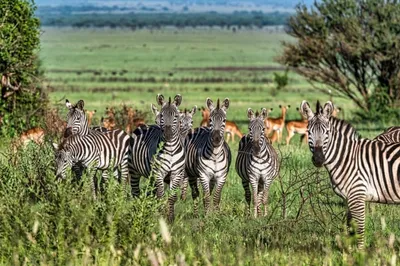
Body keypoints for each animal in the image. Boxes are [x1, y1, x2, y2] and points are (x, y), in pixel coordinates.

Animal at [128, 93, 184, 222]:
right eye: (162, 115)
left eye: (176, 116)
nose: (168, 134)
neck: (170, 150)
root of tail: (146, 125)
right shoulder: (158, 173)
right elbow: (161, 196)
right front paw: (162, 216)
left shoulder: (176, 173)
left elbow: (172, 197)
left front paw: (170, 218)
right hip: (134, 171)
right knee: (135, 192)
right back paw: (136, 213)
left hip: (151, 176)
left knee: (151, 193)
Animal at [300, 100, 400, 249]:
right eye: (308, 132)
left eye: (327, 132)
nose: (318, 159)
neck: (346, 158)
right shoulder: (348, 198)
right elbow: (349, 227)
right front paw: (349, 251)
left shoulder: (357, 194)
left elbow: (359, 228)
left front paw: (360, 252)